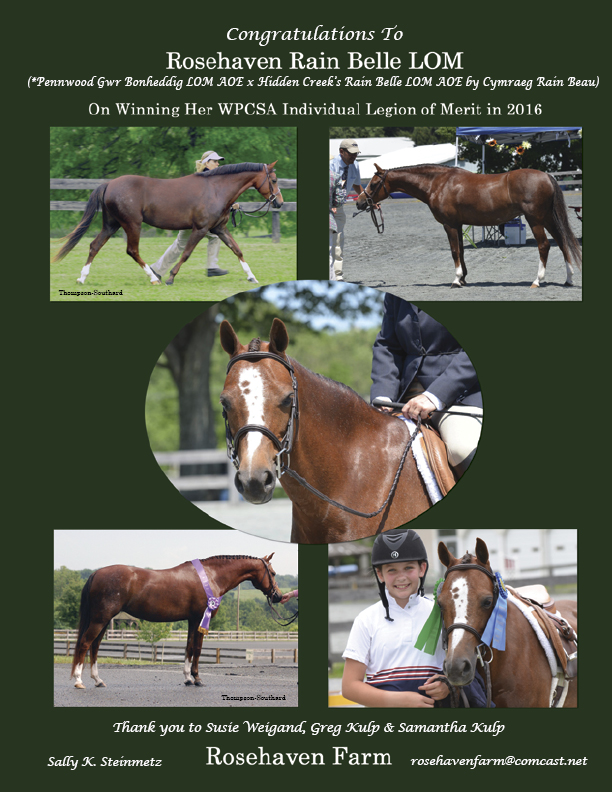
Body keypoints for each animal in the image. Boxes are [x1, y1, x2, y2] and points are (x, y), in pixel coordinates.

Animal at [52, 162, 283, 287]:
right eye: (273, 180)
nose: (279, 202)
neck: (216, 189)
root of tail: (109, 184)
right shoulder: (200, 229)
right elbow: (186, 253)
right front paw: (171, 277)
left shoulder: (219, 228)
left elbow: (237, 250)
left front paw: (252, 277)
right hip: (132, 224)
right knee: (132, 250)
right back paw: (154, 278)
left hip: (111, 225)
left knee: (95, 246)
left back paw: (82, 278)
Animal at [70, 553, 282, 689]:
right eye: (272, 573)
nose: (278, 596)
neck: (211, 576)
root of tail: (96, 573)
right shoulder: (199, 619)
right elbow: (197, 649)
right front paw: (197, 679)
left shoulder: (191, 620)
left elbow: (188, 648)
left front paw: (188, 678)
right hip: (101, 619)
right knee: (85, 644)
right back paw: (79, 681)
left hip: (104, 620)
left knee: (94, 646)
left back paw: (98, 680)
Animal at [356, 164, 582, 289]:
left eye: (374, 184)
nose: (360, 202)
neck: (439, 183)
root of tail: (547, 176)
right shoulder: (458, 225)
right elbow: (462, 252)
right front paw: (463, 278)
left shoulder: (449, 225)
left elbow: (454, 251)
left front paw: (456, 280)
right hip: (548, 219)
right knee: (562, 243)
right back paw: (569, 279)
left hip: (535, 220)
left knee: (544, 246)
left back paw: (537, 280)